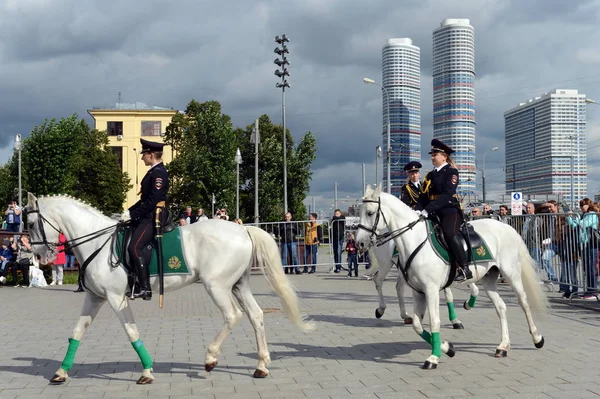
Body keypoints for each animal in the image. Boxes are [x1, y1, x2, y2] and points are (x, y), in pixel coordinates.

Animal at [23, 193, 314, 384]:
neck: (98, 242)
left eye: (30, 224)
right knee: (256, 315)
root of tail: (243, 230)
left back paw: (210, 358)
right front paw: (61, 372)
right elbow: (77, 332)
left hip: (217, 286)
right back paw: (261, 366)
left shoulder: (117, 298)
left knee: (233, 316)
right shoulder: (95, 298)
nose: (39, 255)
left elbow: (131, 332)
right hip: (238, 285)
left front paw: (147, 371)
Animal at [356, 186, 548, 370]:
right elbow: (418, 325)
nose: (359, 243)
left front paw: (434, 357)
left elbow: (434, 321)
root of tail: (507, 228)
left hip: (511, 273)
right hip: (488, 278)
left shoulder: (432, 289)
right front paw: (447, 348)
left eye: (370, 213)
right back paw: (503, 346)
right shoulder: (419, 292)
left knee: (523, 302)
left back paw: (537, 338)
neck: (415, 240)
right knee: (501, 307)